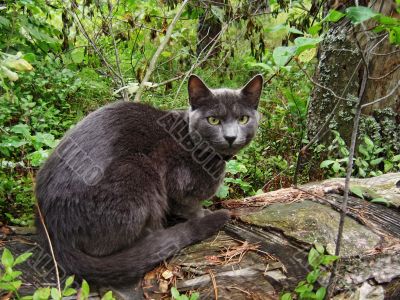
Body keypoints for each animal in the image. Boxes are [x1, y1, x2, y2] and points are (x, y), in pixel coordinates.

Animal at [34, 74, 264, 288]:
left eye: (243, 119)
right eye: (213, 120)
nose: (230, 137)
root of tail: (53, 233)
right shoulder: (176, 181)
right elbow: (189, 206)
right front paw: (203, 214)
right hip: (138, 172)